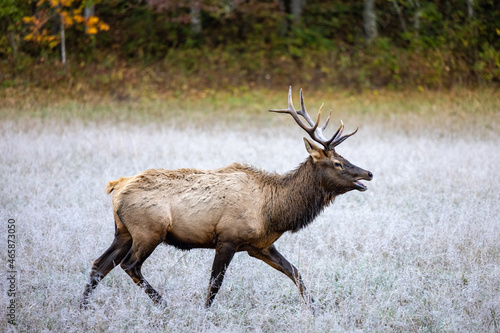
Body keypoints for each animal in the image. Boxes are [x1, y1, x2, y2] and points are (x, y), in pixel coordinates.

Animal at [81, 85, 372, 308]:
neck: (273, 212)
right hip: (149, 230)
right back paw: (163, 304)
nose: (368, 173)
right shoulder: (228, 237)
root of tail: (116, 187)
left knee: (99, 265)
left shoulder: (260, 245)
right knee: (129, 265)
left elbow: (295, 272)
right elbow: (215, 283)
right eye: (337, 163)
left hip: (123, 232)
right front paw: (204, 312)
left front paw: (314, 309)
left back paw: (82, 308)